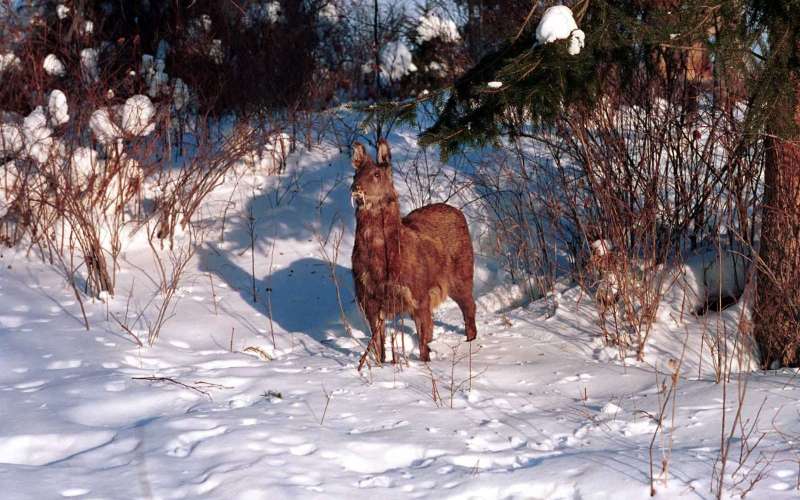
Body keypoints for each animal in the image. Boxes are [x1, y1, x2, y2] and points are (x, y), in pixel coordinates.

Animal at [350, 139, 476, 362]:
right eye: (355, 173)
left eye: (377, 174)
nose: (356, 188)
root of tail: (459, 213)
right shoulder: (368, 301)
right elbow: (379, 347)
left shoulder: (419, 295)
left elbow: (423, 341)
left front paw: (426, 363)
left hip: (462, 274)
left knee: (469, 307)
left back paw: (471, 342)